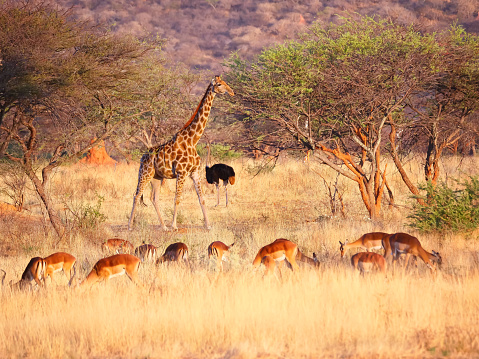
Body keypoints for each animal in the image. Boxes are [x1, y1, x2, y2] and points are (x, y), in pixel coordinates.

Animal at [128, 77, 235, 232]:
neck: (193, 140)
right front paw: (174, 226)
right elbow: (177, 198)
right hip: (145, 174)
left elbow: (201, 198)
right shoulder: (181, 172)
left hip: (156, 177)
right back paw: (130, 226)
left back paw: (163, 227)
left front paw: (208, 225)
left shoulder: (194, 172)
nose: (232, 92)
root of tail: (143, 157)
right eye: (219, 84)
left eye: (226, 82)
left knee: (154, 198)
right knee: (136, 195)